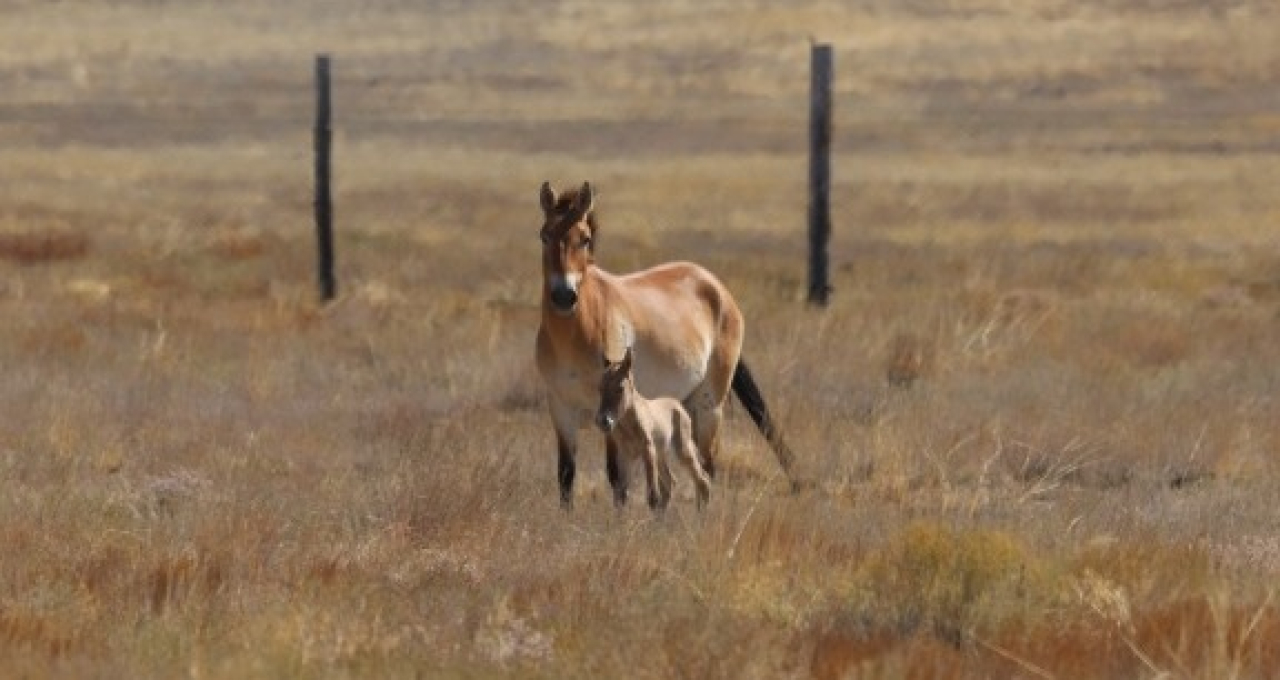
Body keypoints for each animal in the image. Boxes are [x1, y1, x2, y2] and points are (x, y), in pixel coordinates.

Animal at [595, 346, 711, 510]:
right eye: (600, 387)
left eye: (620, 388)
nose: (604, 421)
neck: (628, 426)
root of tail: (678, 406)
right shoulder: (626, 455)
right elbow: (621, 495)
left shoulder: (647, 449)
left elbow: (652, 497)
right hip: (661, 455)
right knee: (671, 483)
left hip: (682, 450)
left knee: (702, 481)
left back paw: (701, 514)